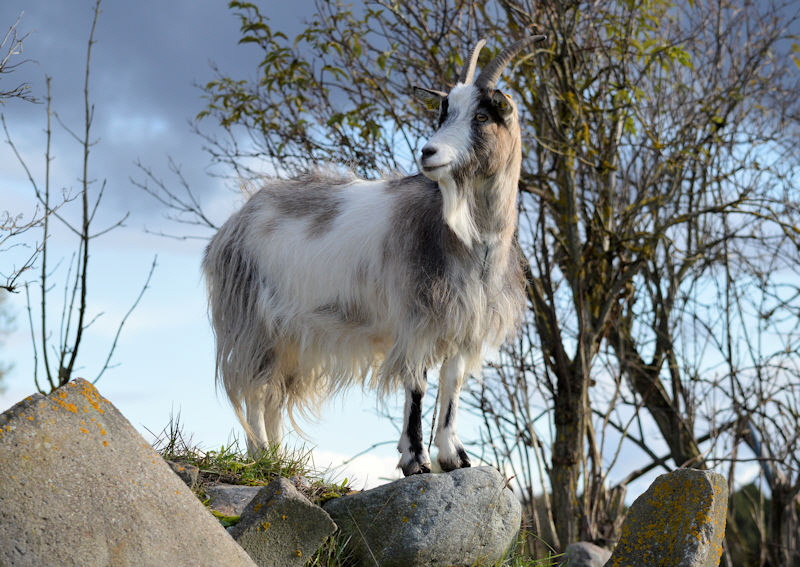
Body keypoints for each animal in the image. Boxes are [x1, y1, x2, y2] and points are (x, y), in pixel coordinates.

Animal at [203, 36, 544, 476]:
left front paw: (454, 457)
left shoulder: (464, 324)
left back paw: (277, 459)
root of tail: (235, 221)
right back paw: (260, 457)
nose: (428, 152)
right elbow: (417, 385)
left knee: (273, 393)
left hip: (290, 335)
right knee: (255, 390)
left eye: (482, 115)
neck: (469, 241)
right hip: (252, 324)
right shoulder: (417, 320)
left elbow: (451, 385)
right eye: (443, 112)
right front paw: (415, 460)